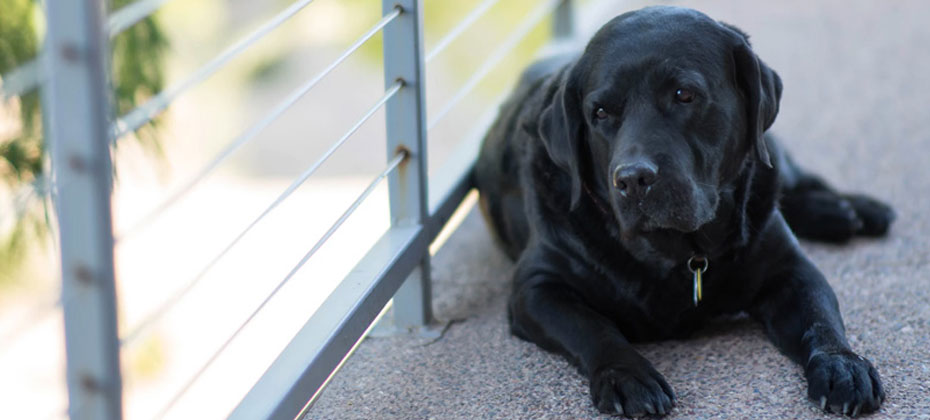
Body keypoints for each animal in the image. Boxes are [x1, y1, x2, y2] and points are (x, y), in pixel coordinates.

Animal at [478, 5, 892, 416]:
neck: (677, 254)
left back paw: (854, 210)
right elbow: (592, 327)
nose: (632, 179)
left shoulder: (791, 269)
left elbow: (820, 319)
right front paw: (627, 376)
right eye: (600, 113)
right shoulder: (537, 287)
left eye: (684, 94)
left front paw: (842, 366)